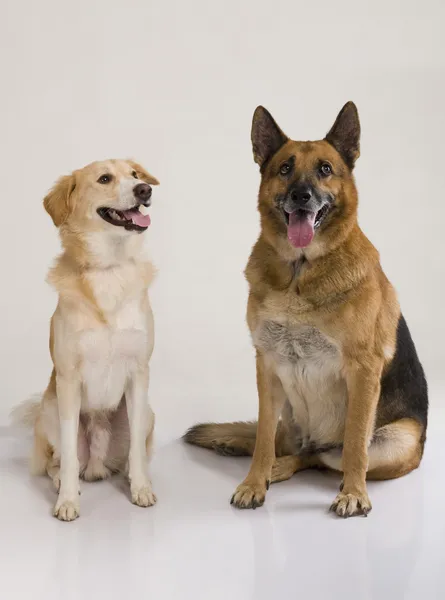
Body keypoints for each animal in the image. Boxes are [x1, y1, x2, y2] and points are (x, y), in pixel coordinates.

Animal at [10, 159, 160, 520]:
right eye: (105, 179)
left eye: (135, 175)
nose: (144, 190)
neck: (109, 268)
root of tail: (97, 464)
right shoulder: (68, 379)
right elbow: (66, 455)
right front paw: (67, 500)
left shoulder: (139, 372)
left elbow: (136, 451)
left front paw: (141, 489)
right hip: (49, 411)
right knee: (59, 462)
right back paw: (66, 483)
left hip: (147, 413)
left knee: (128, 456)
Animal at [184, 102, 426, 516]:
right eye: (285, 168)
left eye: (325, 169)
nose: (301, 195)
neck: (299, 270)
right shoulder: (266, 365)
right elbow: (262, 438)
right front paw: (254, 482)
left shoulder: (363, 370)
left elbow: (355, 447)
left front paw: (354, 493)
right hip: (290, 412)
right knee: (295, 448)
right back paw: (270, 464)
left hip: (398, 442)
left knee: (331, 457)